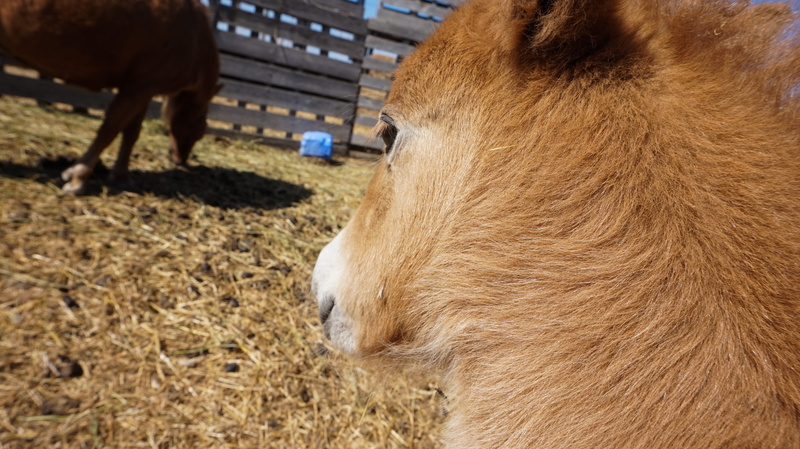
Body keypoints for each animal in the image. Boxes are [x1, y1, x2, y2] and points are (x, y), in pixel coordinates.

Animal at [0, 0, 221, 194]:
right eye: (199, 132)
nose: (180, 160)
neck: (195, 36)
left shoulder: (142, 89)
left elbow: (131, 134)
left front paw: (121, 176)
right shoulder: (139, 88)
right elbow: (110, 130)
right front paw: (78, 177)